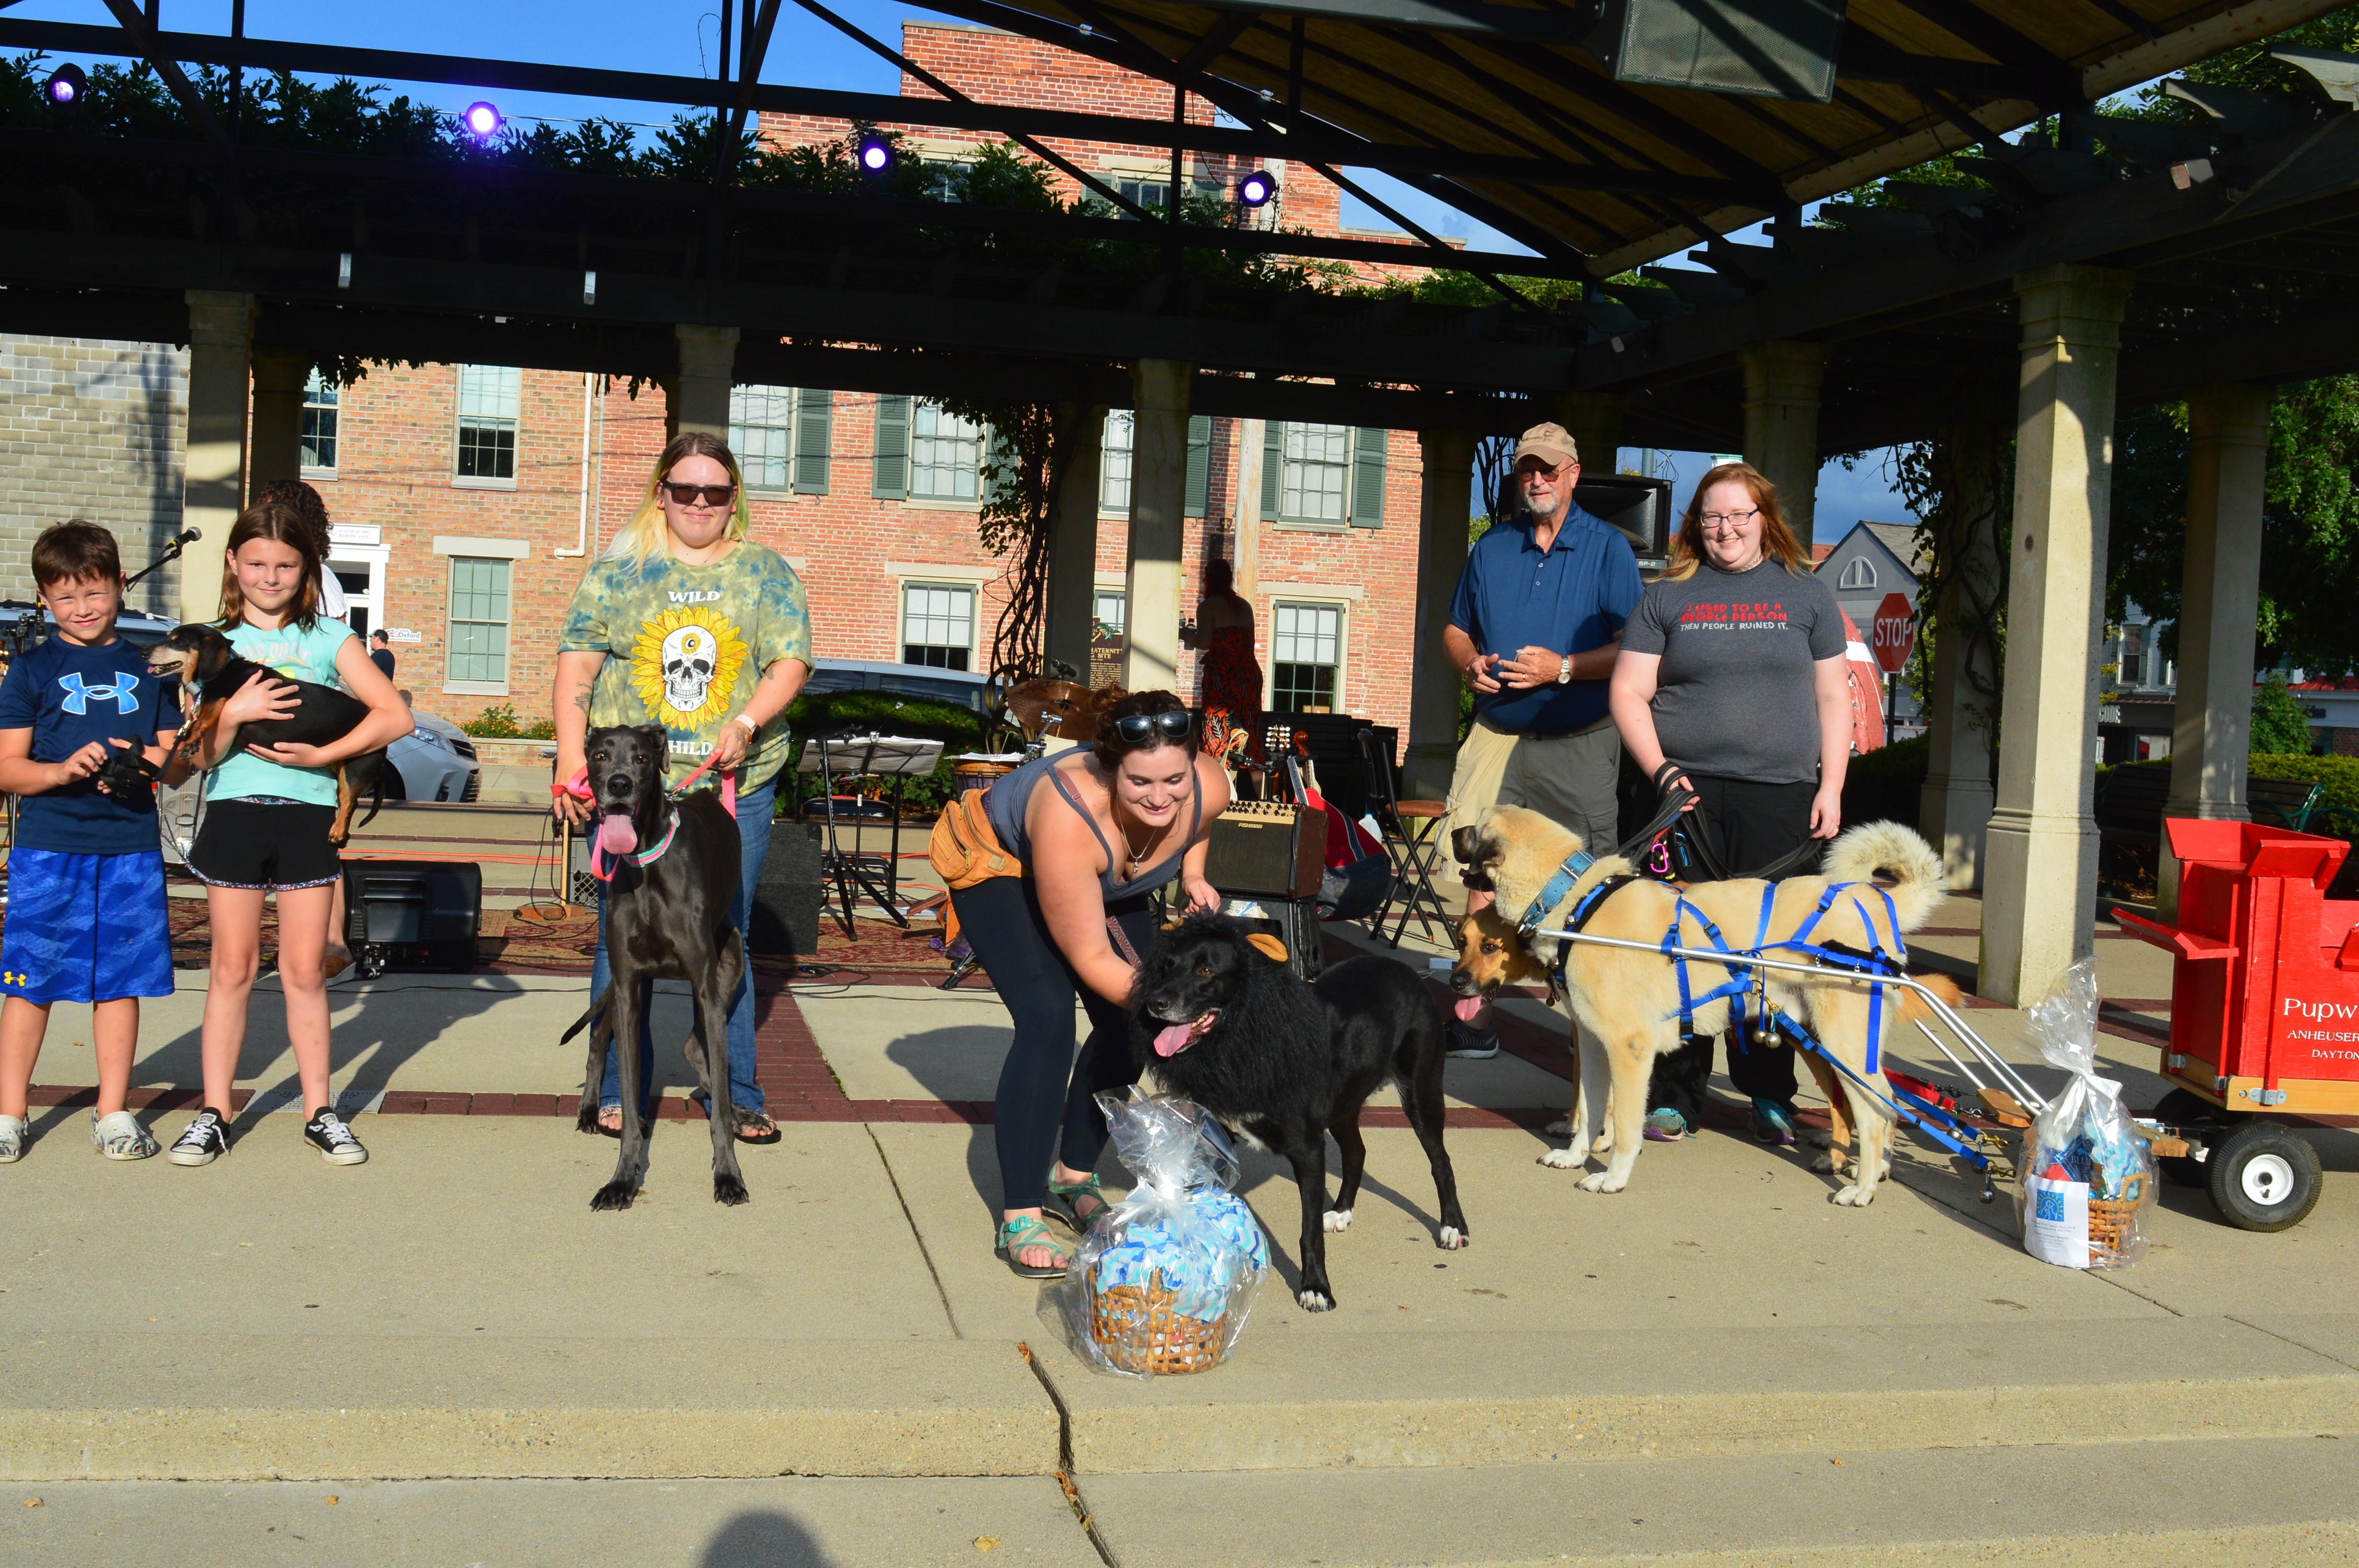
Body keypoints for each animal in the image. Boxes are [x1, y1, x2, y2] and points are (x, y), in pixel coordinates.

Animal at [146, 622, 384, 844]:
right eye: (168, 638)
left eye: (178, 642)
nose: (143, 653)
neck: (225, 669)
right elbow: (196, 720)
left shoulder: (220, 699)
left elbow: (201, 721)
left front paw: (191, 742)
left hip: (355, 769)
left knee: (349, 801)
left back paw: (337, 831)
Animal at [554, 721, 745, 1207]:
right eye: (600, 756)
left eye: (641, 757)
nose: (619, 785)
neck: (646, 860)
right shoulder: (627, 986)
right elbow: (627, 1087)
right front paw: (622, 1179)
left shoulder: (705, 984)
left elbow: (719, 1102)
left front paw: (728, 1175)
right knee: (599, 1036)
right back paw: (589, 1110)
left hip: (729, 968)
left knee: (700, 1049)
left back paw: (738, 1112)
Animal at [1127, 910, 1472, 1311]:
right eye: (1166, 967)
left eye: (1205, 970)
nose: (1155, 1003)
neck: (1249, 1033)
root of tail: (1407, 971)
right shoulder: (1215, 1142)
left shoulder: (1308, 1149)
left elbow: (1308, 1232)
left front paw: (1316, 1288)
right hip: (1345, 1103)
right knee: (1357, 1153)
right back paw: (1341, 1212)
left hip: (1422, 1091)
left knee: (1440, 1161)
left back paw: (1453, 1227)